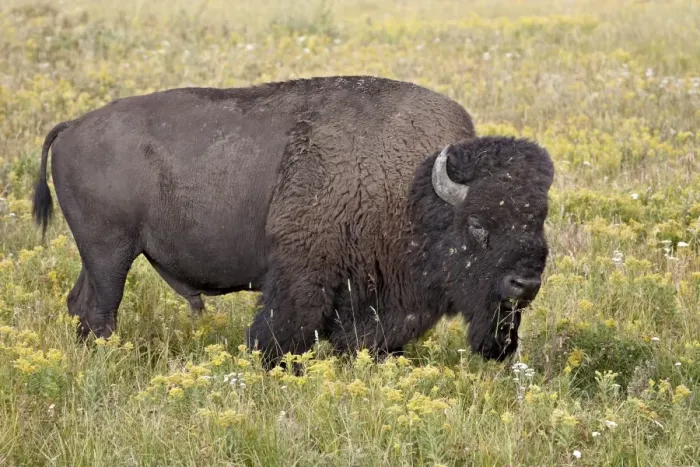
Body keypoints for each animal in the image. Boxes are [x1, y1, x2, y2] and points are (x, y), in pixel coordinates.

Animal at [31, 75, 554, 368]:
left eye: (540, 219)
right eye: (479, 225)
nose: (525, 283)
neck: (412, 188)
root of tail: (73, 126)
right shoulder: (303, 273)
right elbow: (282, 333)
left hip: (100, 257)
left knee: (80, 304)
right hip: (110, 253)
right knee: (100, 309)